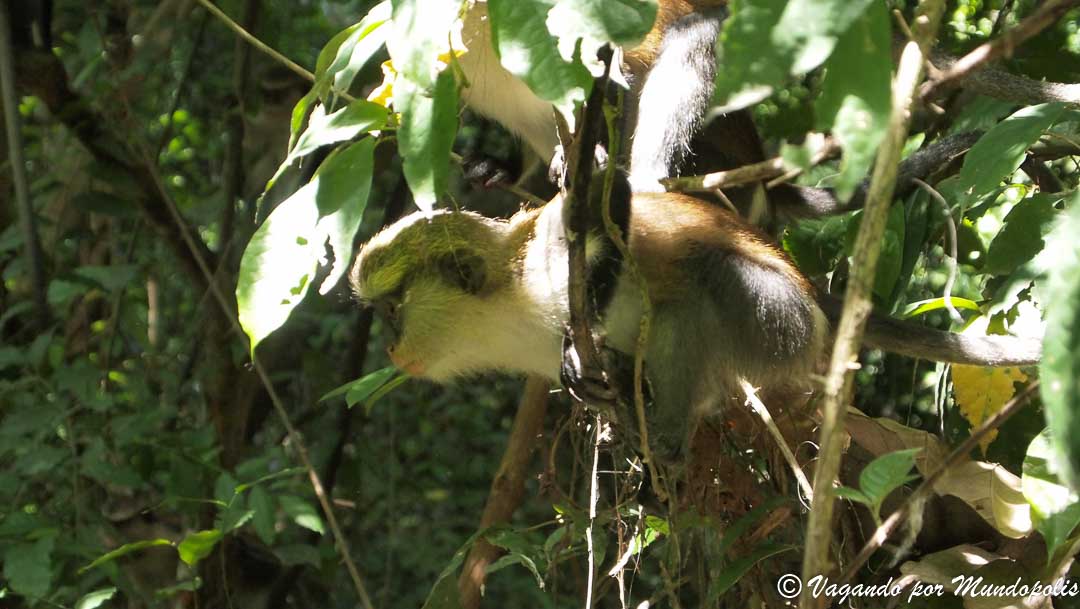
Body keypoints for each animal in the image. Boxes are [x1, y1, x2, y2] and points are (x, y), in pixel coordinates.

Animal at [349, 173, 1042, 460]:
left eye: (392, 310)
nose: (389, 350)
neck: (506, 310)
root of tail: (815, 297)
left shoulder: (547, 257)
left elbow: (609, 219)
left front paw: (587, 328)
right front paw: (593, 379)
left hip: (779, 323)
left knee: (699, 295)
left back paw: (669, 432)